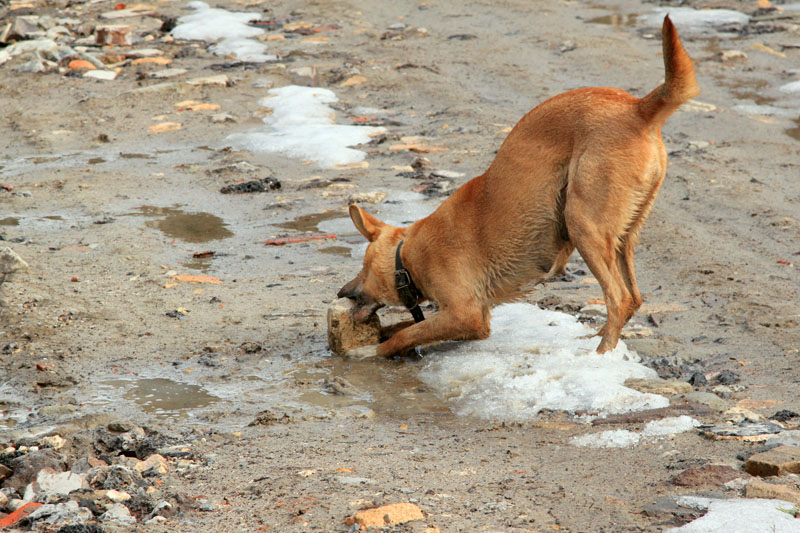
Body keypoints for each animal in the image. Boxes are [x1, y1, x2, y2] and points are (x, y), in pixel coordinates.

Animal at [340, 15, 700, 358]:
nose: (342, 293)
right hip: (624, 235)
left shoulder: (466, 315)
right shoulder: (472, 317)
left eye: (364, 267)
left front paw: (366, 351)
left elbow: (404, 335)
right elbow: (403, 326)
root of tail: (637, 108)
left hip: (583, 224)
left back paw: (600, 355)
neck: (407, 254)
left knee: (619, 299)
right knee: (634, 298)